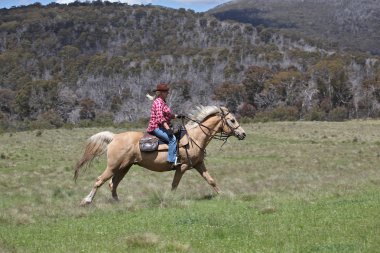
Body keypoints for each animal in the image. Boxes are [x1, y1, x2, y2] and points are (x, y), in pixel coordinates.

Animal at [74, 105, 246, 206]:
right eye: (232, 120)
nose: (243, 134)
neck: (194, 137)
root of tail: (115, 137)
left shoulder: (198, 164)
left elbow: (211, 180)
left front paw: (224, 195)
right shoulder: (182, 167)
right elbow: (175, 184)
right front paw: (169, 199)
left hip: (124, 167)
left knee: (113, 184)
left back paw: (118, 202)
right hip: (113, 166)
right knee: (99, 181)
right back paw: (86, 200)